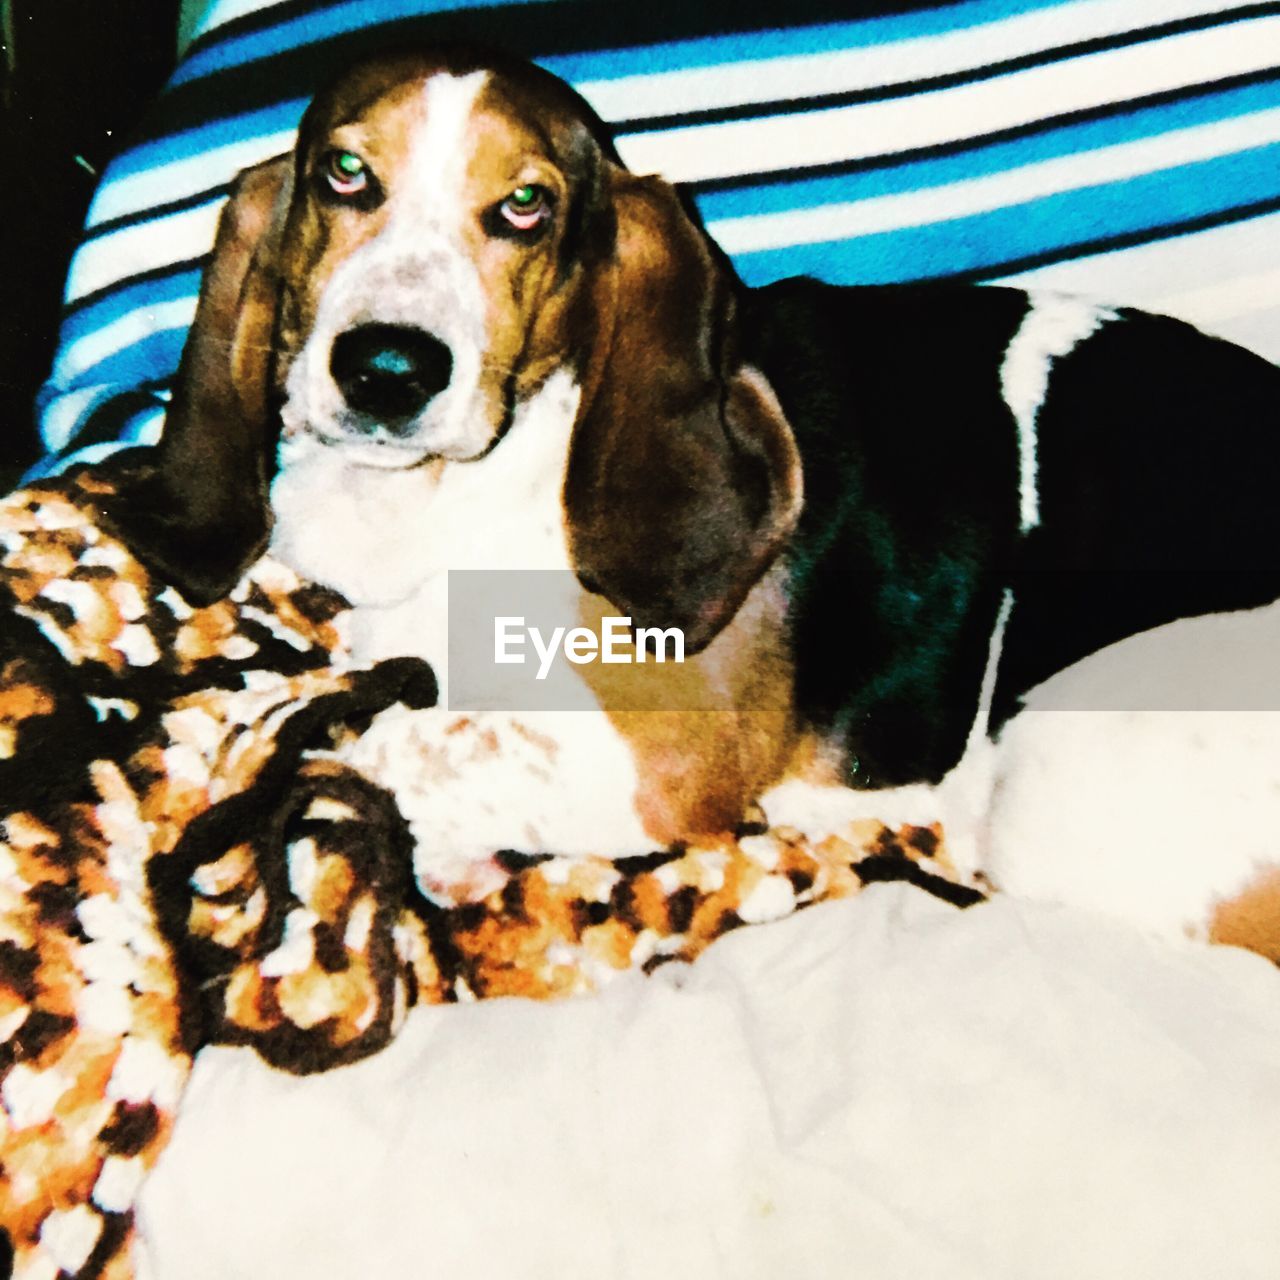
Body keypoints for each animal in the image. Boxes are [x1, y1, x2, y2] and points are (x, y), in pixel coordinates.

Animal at [94, 42, 1280, 942]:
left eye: (524, 205)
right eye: (344, 172)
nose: (387, 368)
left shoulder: (658, 759)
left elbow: (394, 742)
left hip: (1063, 753)